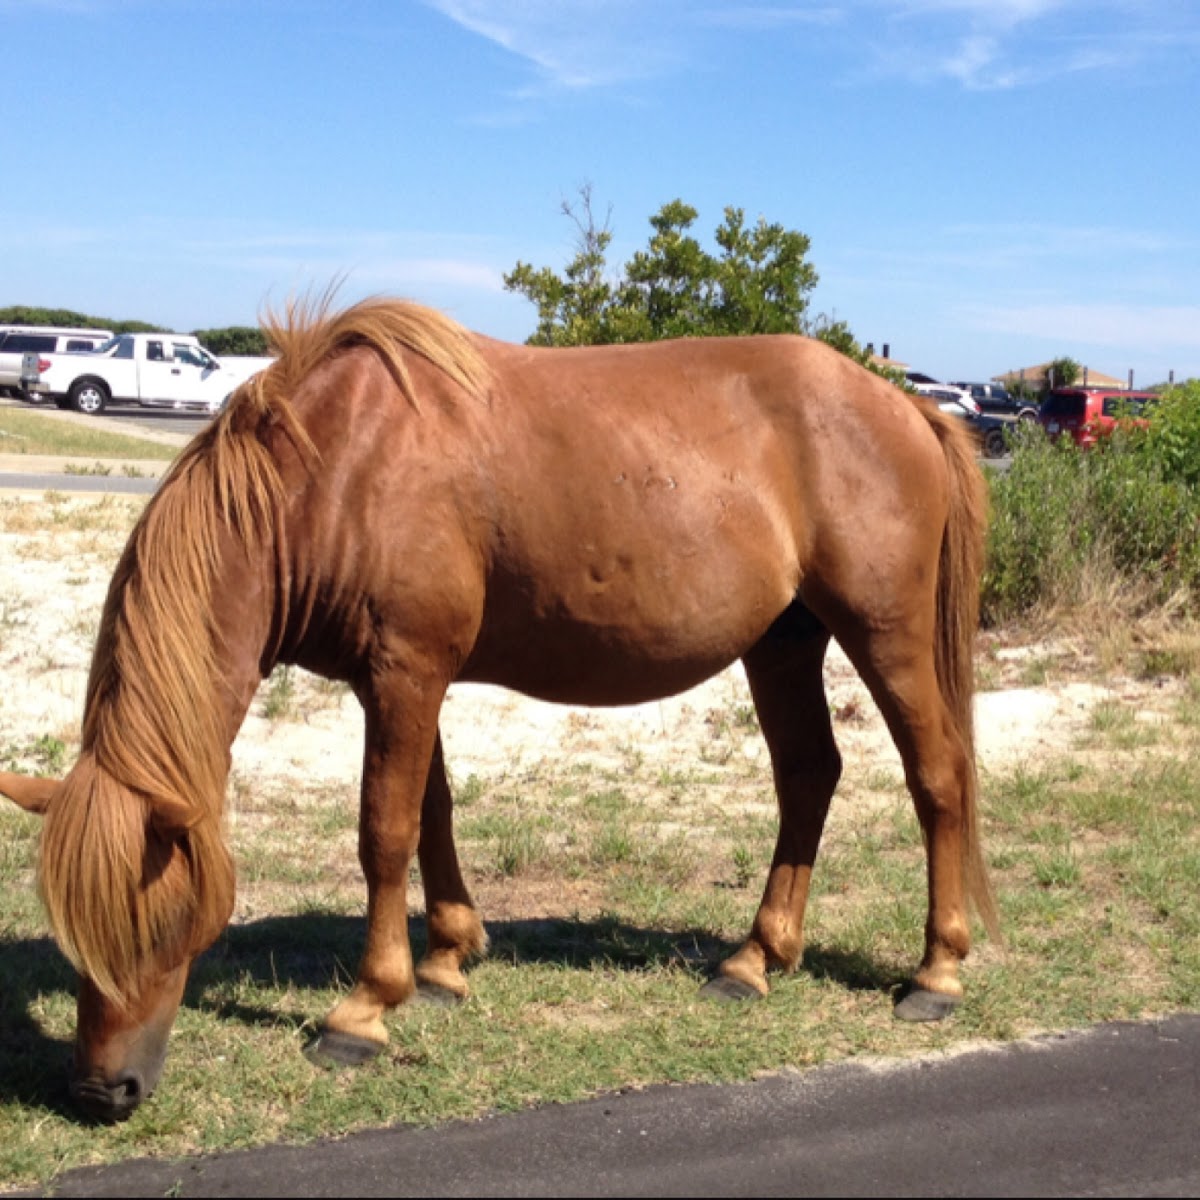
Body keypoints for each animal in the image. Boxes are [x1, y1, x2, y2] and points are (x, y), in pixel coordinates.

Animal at [0, 295, 998, 1118]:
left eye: (165, 920)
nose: (102, 1092)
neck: (333, 470)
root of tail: (905, 405)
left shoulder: (407, 669)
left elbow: (384, 829)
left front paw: (365, 1011)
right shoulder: (400, 676)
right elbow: (431, 813)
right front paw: (446, 960)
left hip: (884, 630)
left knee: (937, 777)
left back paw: (937, 973)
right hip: (783, 641)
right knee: (808, 777)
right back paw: (756, 960)